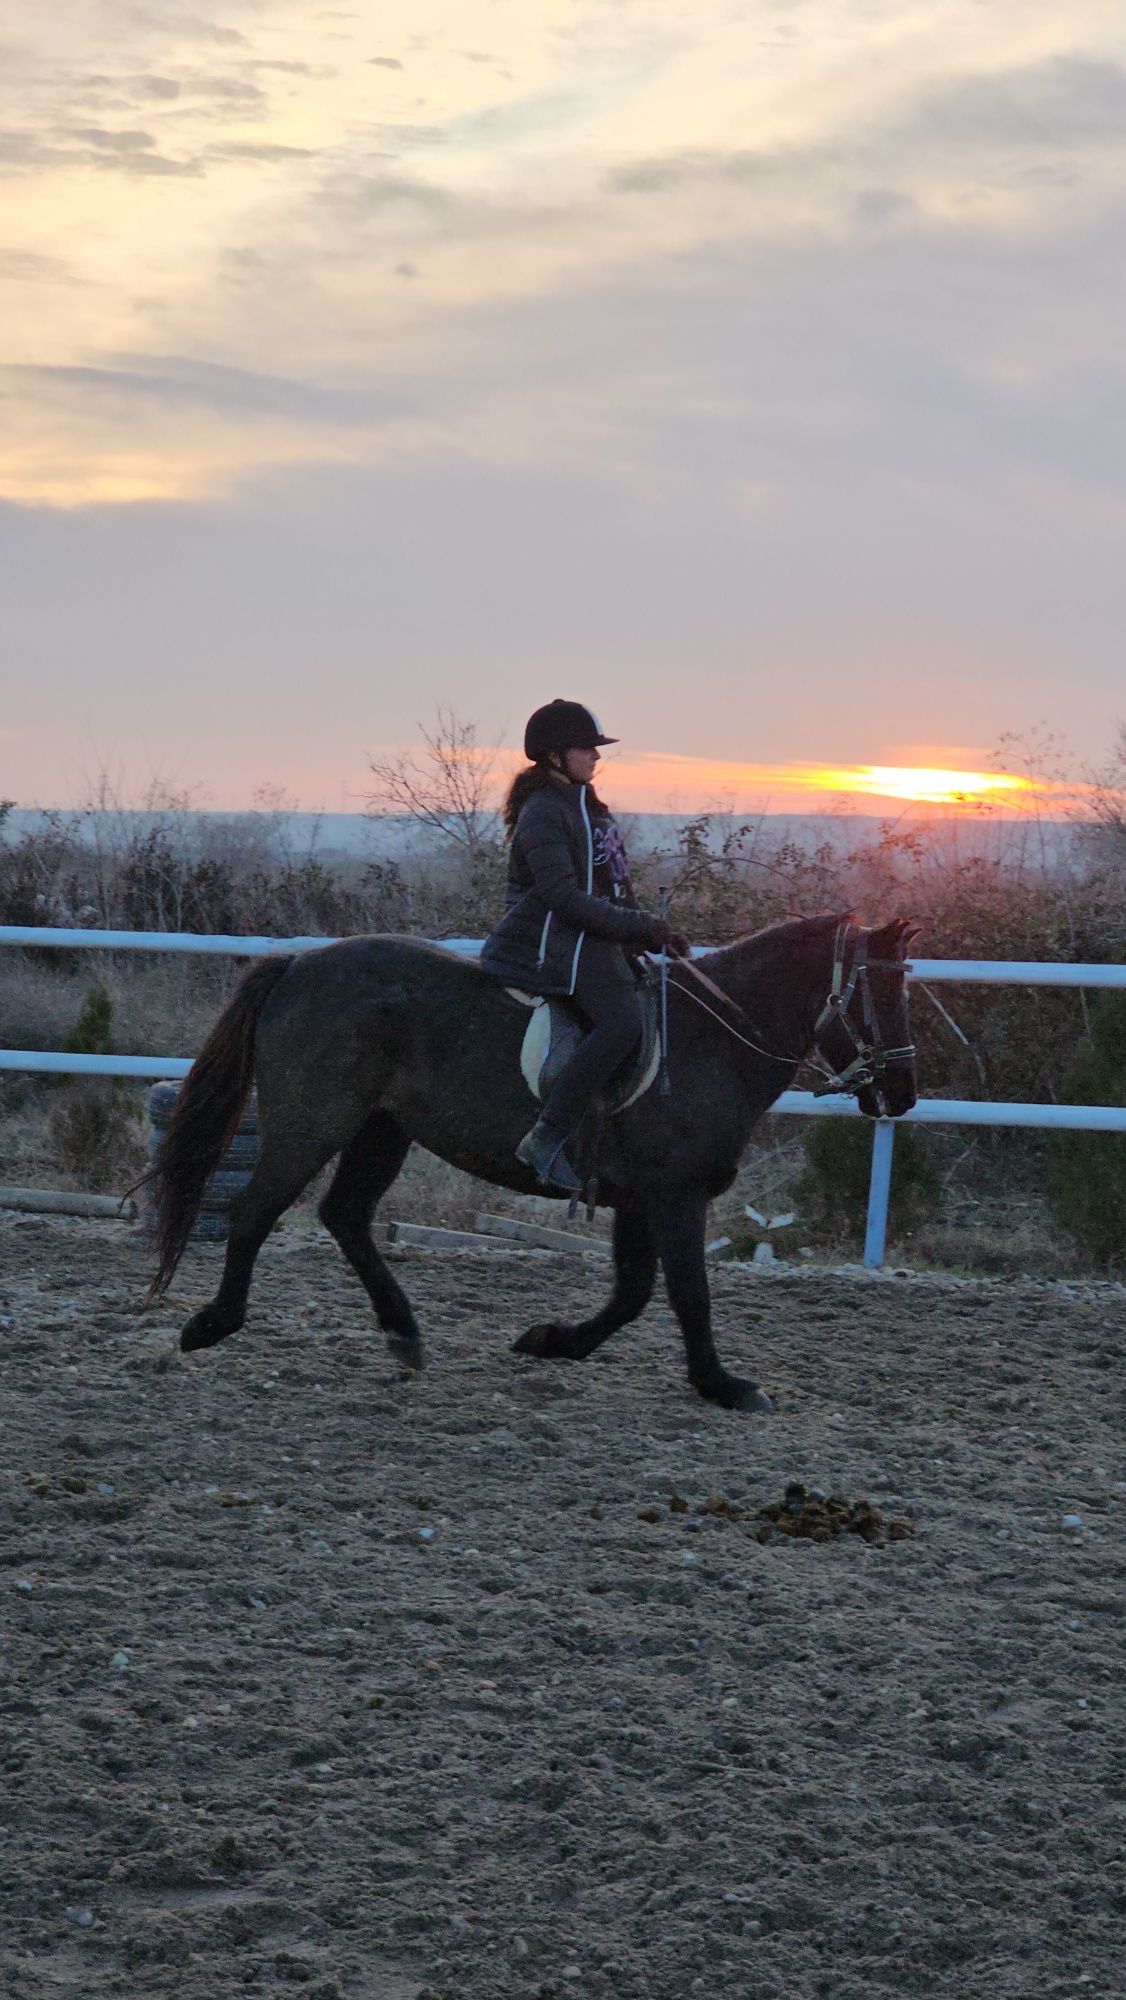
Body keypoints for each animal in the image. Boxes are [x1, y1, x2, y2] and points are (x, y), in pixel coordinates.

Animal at [145, 916, 920, 1416]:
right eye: (879, 994)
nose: (902, 1095)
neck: (713, 1040)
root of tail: (300, 964)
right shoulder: (675, 1196)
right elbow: (687, 1294)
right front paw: (723, 1385)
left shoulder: (639, 1199)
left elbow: (633, 1293)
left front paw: (551, 1342)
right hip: (314, 1124)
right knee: (254, 1210)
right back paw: (212, 1325)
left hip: (381, 1130)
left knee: (347, 1217)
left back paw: (403, 1334)